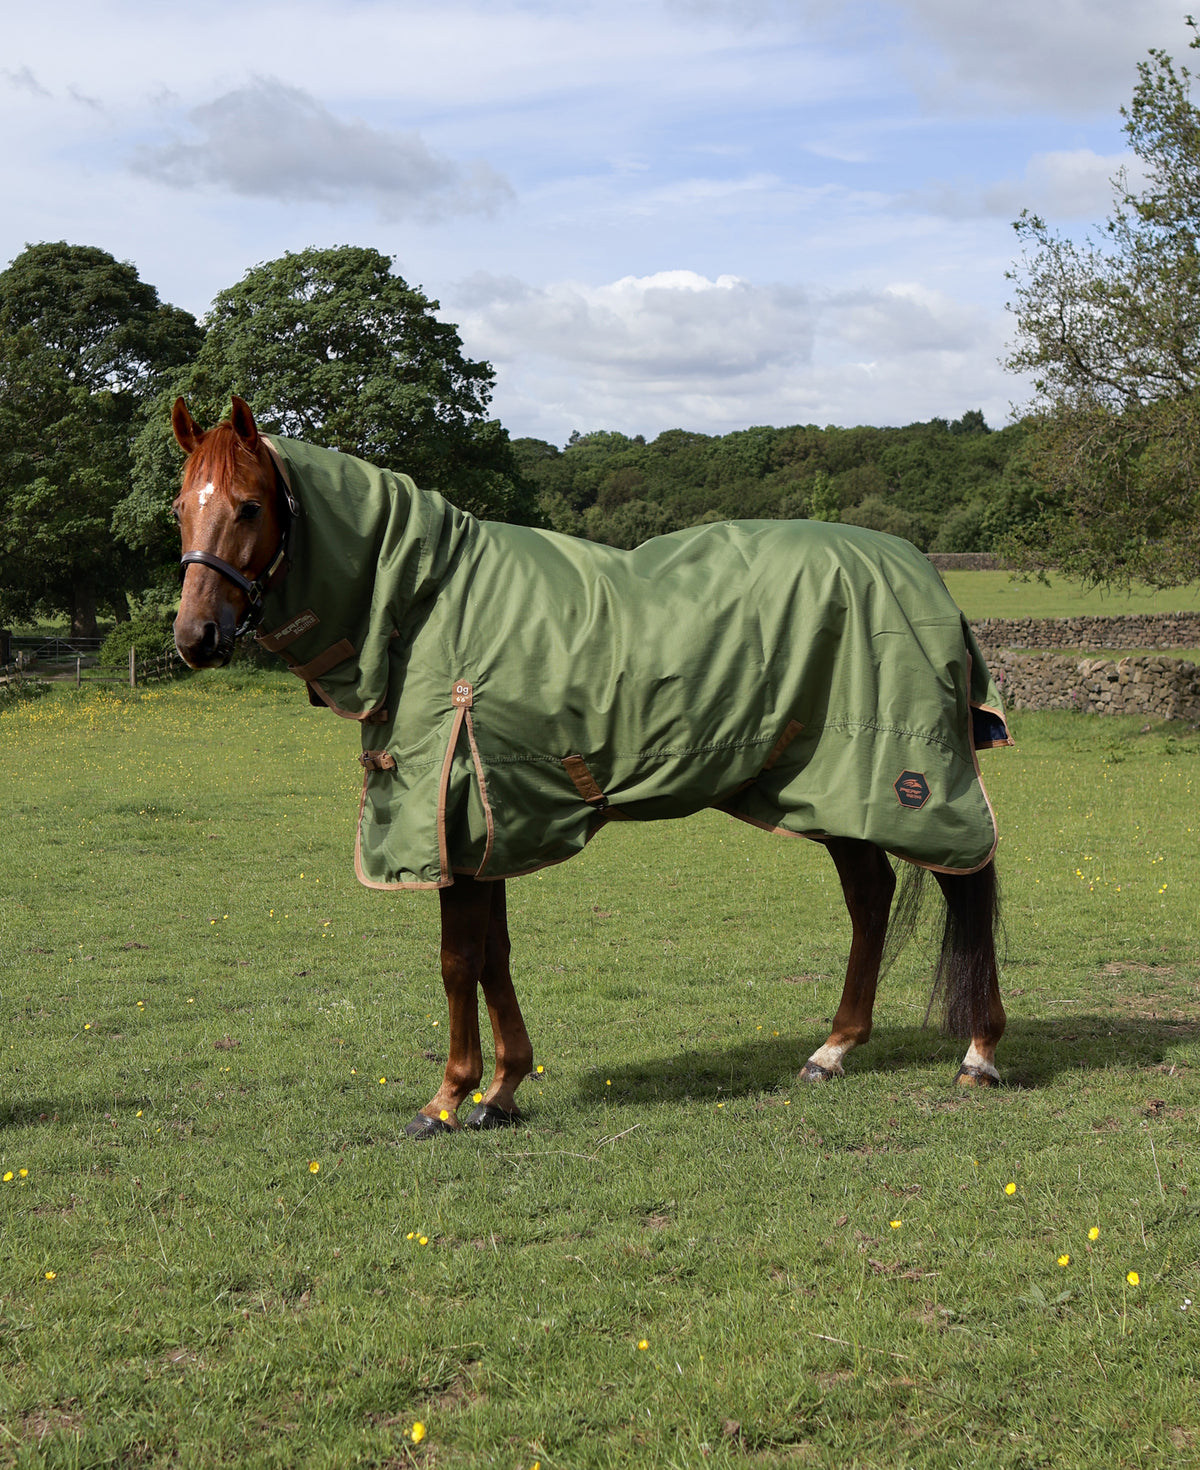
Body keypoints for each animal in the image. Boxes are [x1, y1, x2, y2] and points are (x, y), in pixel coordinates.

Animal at [172, 396, 1010, 1138]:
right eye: (182, 507)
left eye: (250, 506)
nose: (194, 636)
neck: (424, 601)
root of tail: (923, 573)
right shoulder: (490, 819)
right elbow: (494, 957)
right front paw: (503, 1092)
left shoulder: (456, 817)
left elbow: (457, 961)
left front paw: (446, 1101)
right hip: (834, 793)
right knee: (870, 899)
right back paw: (832, 1052)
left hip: (906, 783)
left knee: (964, 887)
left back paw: (978, 1054)